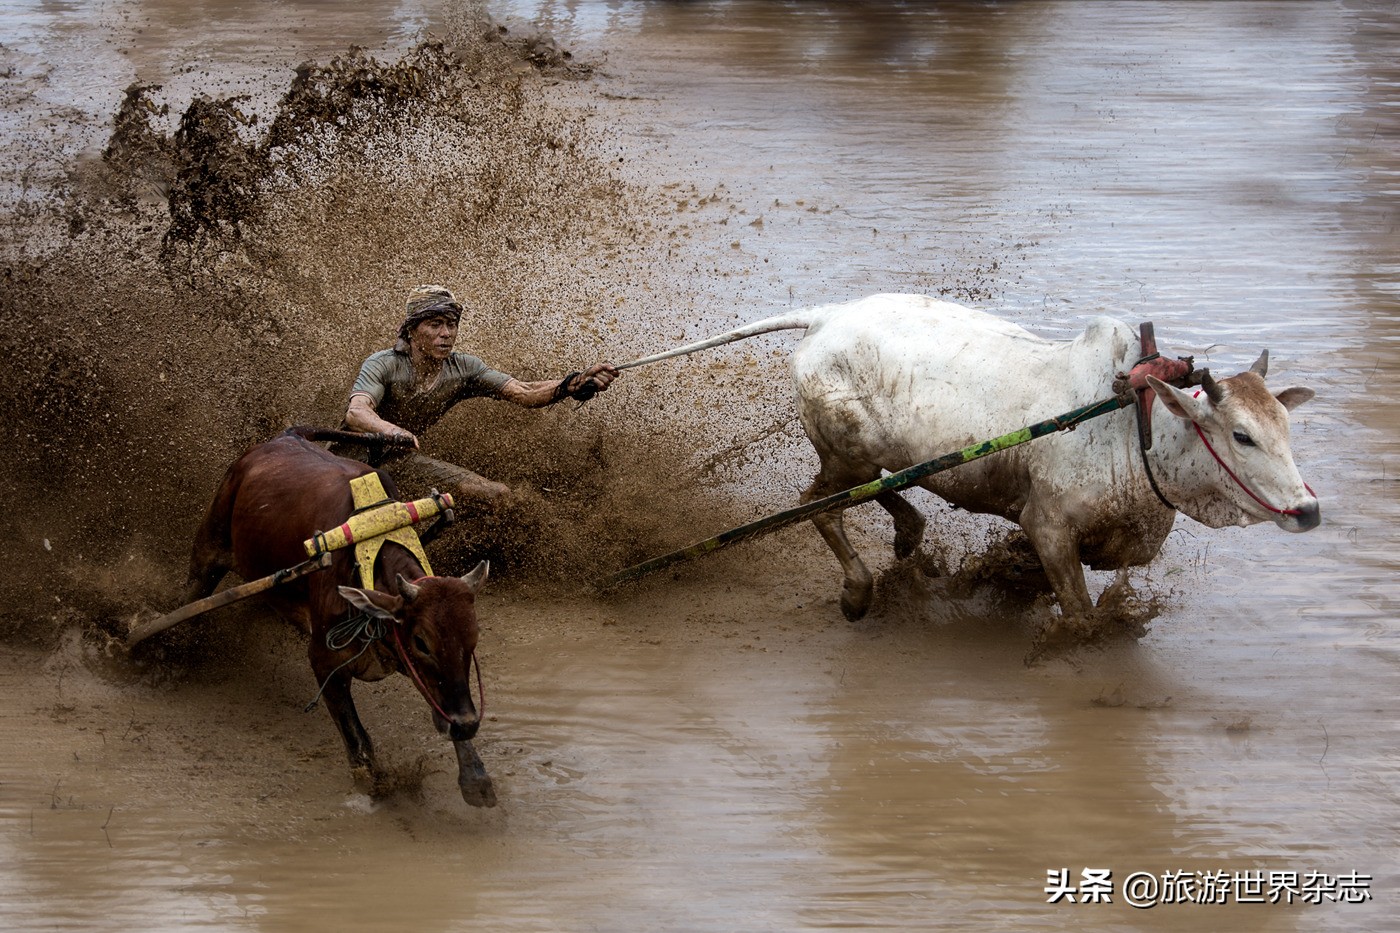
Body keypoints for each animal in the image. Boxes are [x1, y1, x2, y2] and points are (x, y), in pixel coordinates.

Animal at [180, 425, 498, 801]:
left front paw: (475, 775)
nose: (468, 723)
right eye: (422, 642)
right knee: (189, 600)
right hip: (209, 549)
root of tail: (285, 436)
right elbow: (358, 739)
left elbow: (441, 703)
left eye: (473, 638)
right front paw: (375, 783)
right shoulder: (324, 661)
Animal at [641, 294, 1316, 622]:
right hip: (844, 454)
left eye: (1285, 428)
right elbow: (1080, 616)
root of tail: (826, 317)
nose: (1308, 510)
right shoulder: (1049, 527)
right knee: (819, 505)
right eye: (1242, 436)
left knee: (874, 490)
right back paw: (858, 592)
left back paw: (909, 535)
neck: (1136, 429)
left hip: (863, 457)